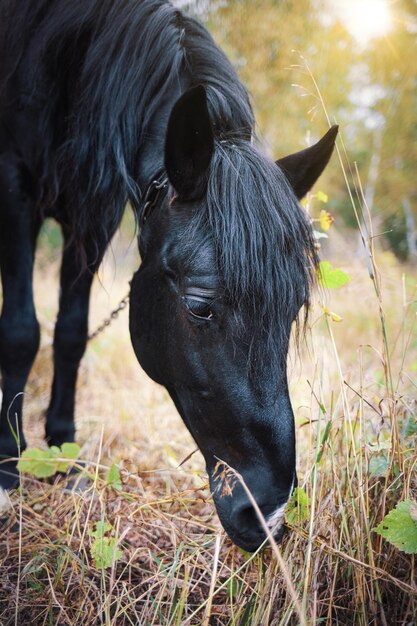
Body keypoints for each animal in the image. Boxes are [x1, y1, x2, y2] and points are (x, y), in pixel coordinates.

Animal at [0, 0, 336, 548]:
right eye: (200, 306)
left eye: (293, 311)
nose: (269, 515)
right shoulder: (15, 188)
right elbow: (20, 333)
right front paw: (8, 467)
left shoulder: (91, 215)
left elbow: (70, 334)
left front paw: (64, 454)